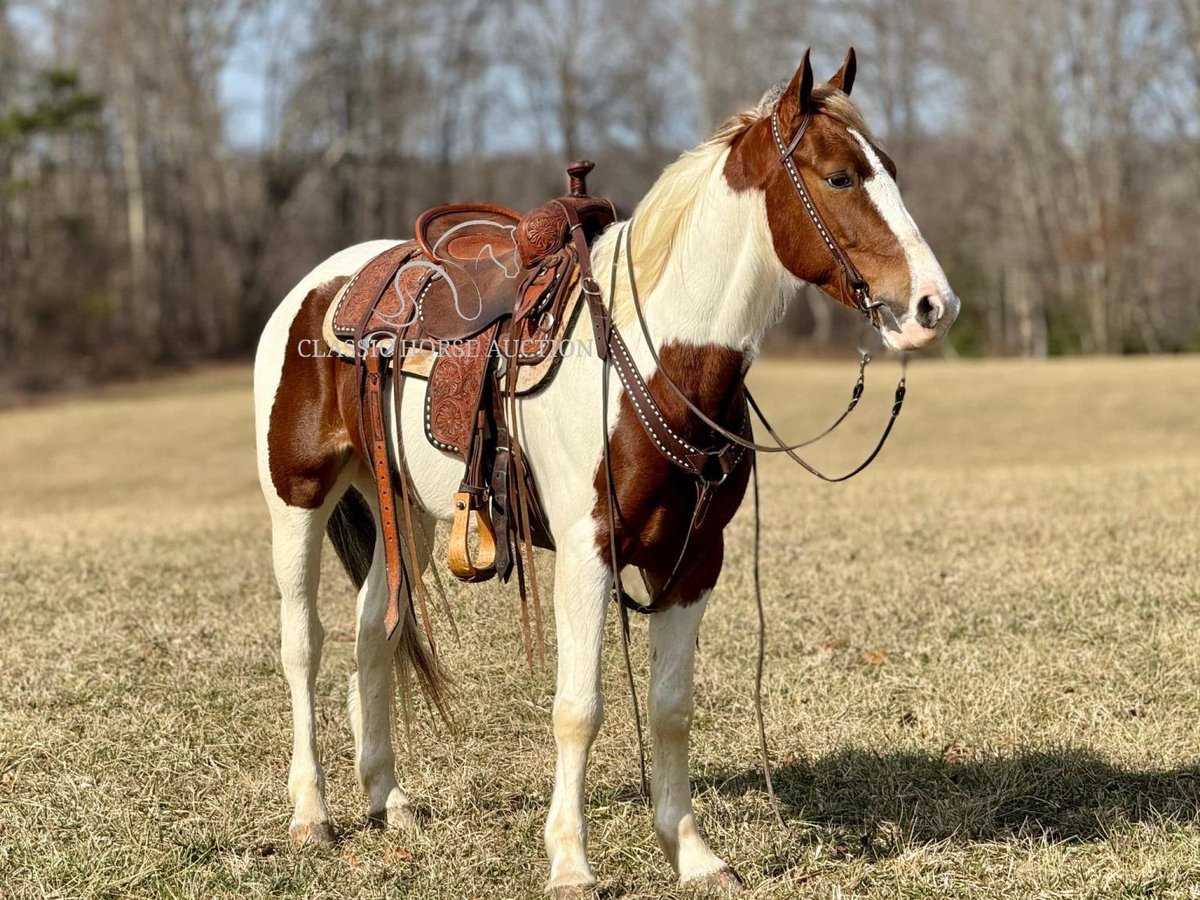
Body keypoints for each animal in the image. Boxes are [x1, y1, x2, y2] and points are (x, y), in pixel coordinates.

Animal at [250, 47, 955, 897]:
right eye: (841, 177)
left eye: (889, 169)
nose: (932, 304)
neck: (652, 365)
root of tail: (321, 284)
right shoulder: (587, 555)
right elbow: (578, 708)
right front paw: (569, 863)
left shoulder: (694, 560)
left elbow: (672, 706)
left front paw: (693, 855)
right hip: (297, 499)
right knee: (304, 644)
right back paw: (311, 814)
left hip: (406, 514)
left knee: (373, 634)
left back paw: (389, 800)